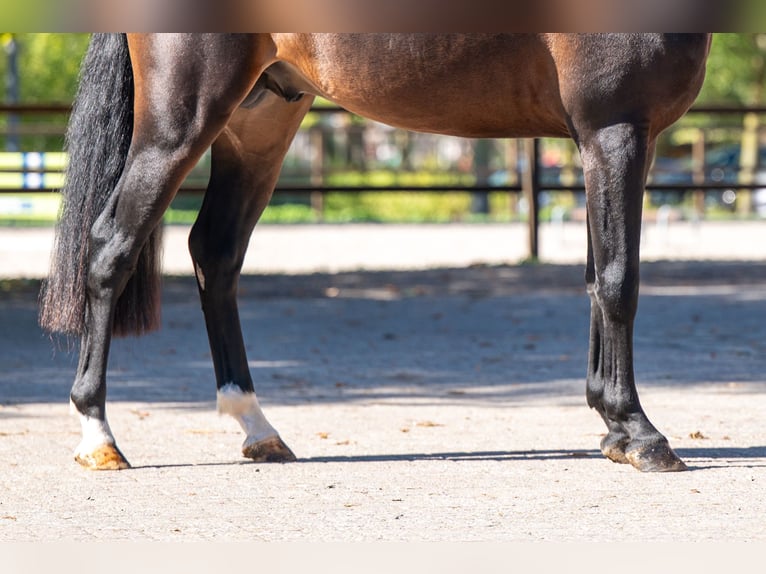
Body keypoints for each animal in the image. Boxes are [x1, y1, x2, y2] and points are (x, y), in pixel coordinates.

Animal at [39, 33, 711, 472]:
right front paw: (640, 433)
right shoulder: (615, 130)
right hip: (179, 123)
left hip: (261, 120)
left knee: (217, 252)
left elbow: (596, 281)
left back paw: (257, 427)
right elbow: (620, 282)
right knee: (110, 248)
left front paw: (613, 430)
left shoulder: (607, 142)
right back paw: (99, 438)